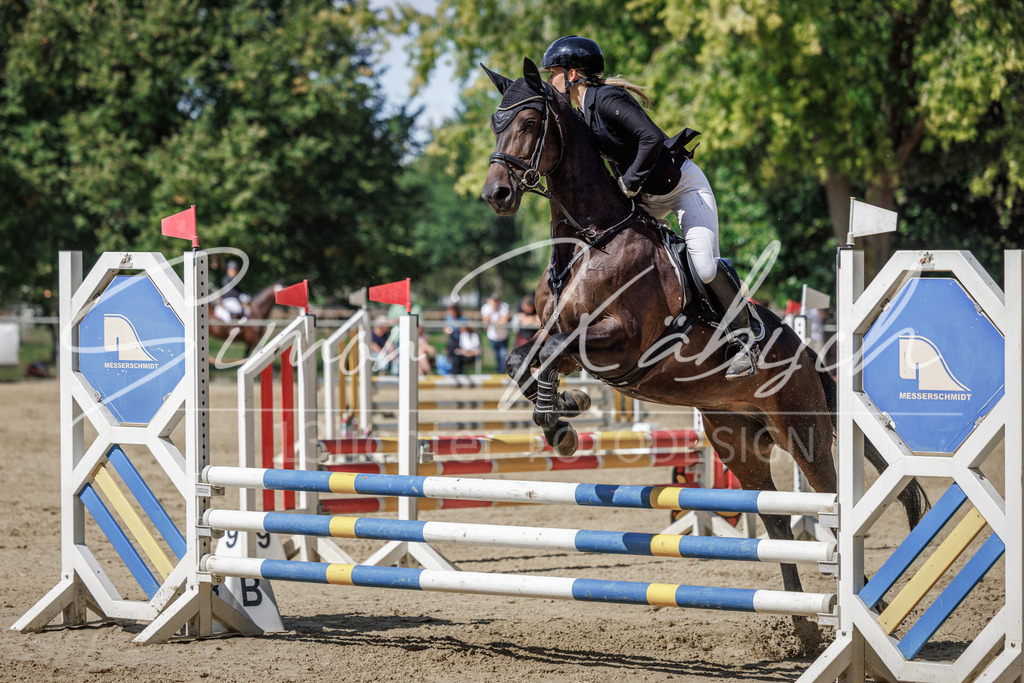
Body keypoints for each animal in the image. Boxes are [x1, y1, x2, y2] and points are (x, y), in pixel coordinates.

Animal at [480, 58, 928, 613]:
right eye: (495, 124)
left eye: (529, 122)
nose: (495, 194)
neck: (590, 239)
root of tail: (807, 355)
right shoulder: (555, 332)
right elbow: (522, 359)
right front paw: (564, 413)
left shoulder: (623, 344)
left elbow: (553, 353)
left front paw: (560, 418)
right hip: (737, 442)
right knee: (774, 517)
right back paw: (800, 621)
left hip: (803, 434)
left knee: (828, 500)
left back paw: (864, 604)